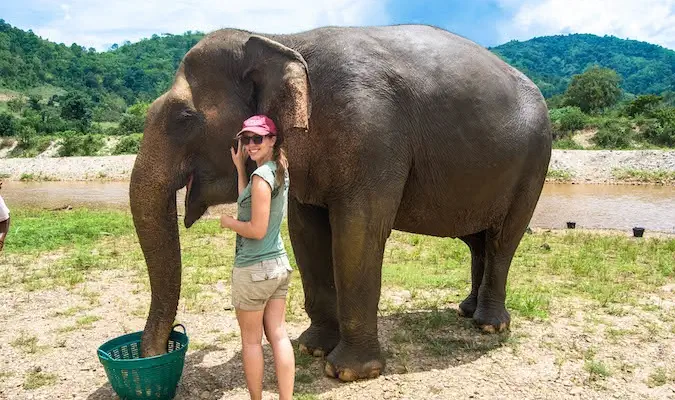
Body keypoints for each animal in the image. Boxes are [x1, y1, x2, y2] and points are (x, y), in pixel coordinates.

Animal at [128, 23, 556, 382]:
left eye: (185, 118)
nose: (162, 352)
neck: (283, 39)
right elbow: (306, 233)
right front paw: (312, 348)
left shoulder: (371, 134)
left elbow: (357, 233)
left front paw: (348, 372)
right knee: (477, 241)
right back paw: (467, 310)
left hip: (535, 160)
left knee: (503, 239)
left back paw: (490, 325)